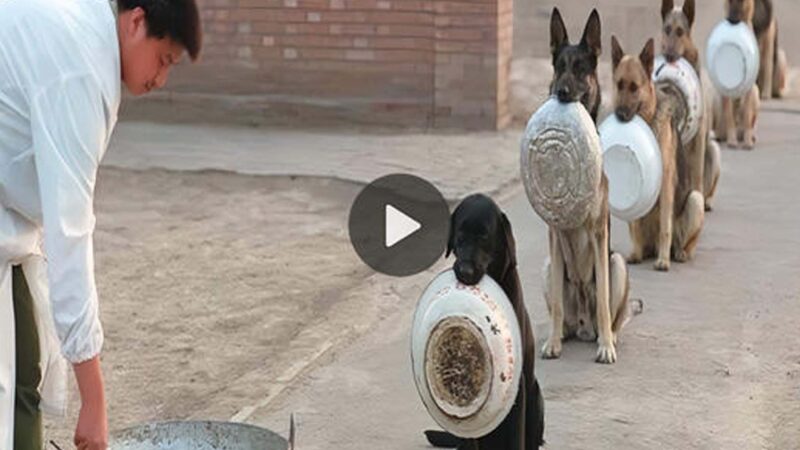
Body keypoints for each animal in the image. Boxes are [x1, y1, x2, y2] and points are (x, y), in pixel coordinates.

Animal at [424, 195, 544, 450]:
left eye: (484, 237)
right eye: (460, 235)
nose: (465, 271)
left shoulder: (518, 389)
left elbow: (517, 437)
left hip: (536, 396)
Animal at [540, 7, 636, 366]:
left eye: (581, 68)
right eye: (559, 67)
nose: (561, 92)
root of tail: (582, 323)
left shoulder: (598, 233)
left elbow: (605, 303)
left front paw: (606, 347)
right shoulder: (554, 236)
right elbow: (555, 304)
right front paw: (552, 343)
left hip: (617, 263)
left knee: (611, 314)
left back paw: (609, 336)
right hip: (549, 265)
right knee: (561, 311)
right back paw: (563, 335)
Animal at [616, 36, 704, 270]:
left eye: (634, 87)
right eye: (619, 85)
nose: (619, 115)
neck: (648, 120)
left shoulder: (665, 186)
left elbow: (666, 226)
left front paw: (663, 261)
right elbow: (636, 225)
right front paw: (636, 254)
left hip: (695, 200)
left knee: (684, 243)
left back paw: (677, 253)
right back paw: (641, 252)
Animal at [660, 0, 720, 211]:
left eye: (680, 31)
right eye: (667, 29)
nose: (668, 56)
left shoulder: (699, 139)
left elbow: (697, 176)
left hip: (713, 149)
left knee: (707, 186)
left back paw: (706, 201)